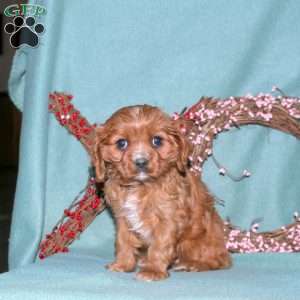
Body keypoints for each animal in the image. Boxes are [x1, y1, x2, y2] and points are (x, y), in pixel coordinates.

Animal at [92, 104, 231, 280]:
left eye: (157, 141)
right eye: (121, 143)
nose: (141, 162)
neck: (141, 186)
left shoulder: (168, 218)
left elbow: (160, 245)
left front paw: (153, 271)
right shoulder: (123, 216)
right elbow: (123, 241)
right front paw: (122, 265)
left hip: (194, 243)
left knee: (218, 261)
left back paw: (192, 264)